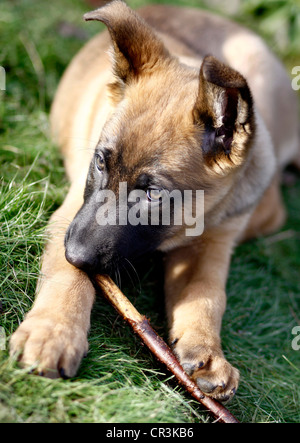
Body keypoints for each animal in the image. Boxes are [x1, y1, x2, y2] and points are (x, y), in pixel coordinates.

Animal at [9, 0, 300, 402]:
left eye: (152, 195)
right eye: (100, 162)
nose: (76, 253)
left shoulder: (215, 241)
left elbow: (207, 294)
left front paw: (208, 354)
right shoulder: (69, 215)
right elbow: (67, 278)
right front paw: (52, 332)